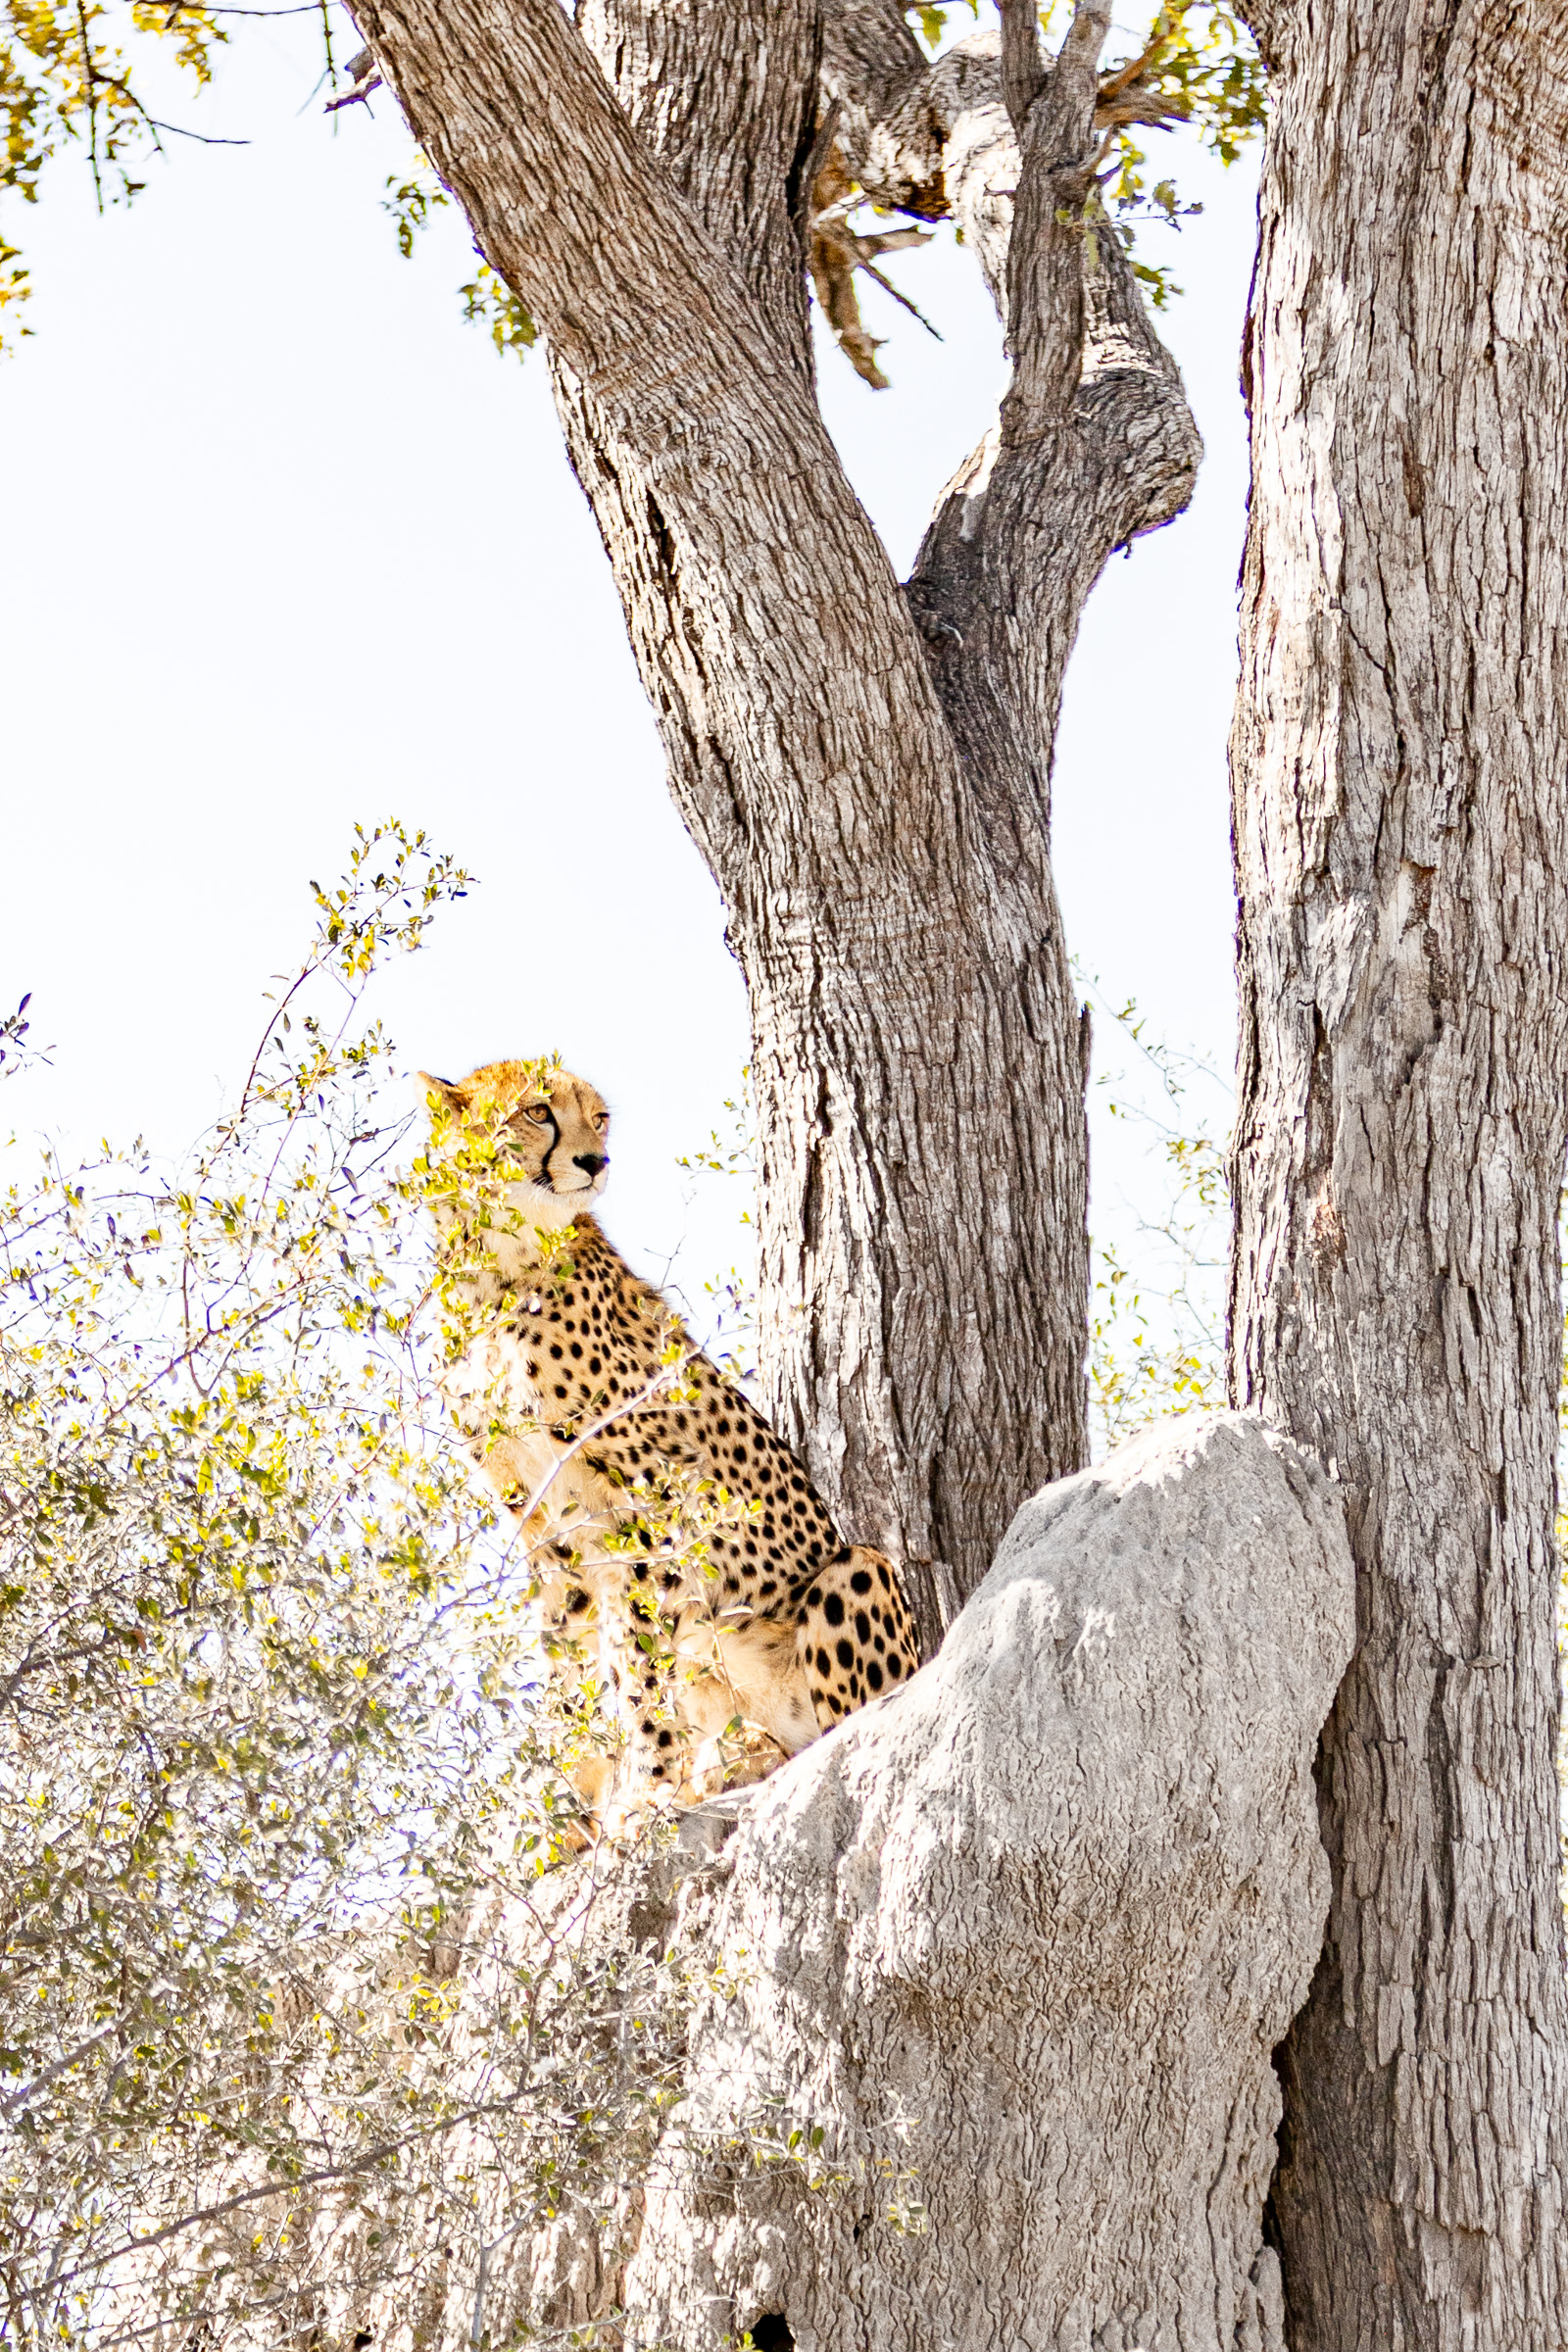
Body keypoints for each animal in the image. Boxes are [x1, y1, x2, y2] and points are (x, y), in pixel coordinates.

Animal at [419, 1056, 921, 1824]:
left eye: (599, 1118)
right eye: (537, 1111)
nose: (595, 1161)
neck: (496, 1271)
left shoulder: (646, 1493)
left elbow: (634, 1657)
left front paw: (646, 1791)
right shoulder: (542, 1521)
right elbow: (571, 1653)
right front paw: (575, 1810)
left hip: (854, 1572)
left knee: (855, 1732)